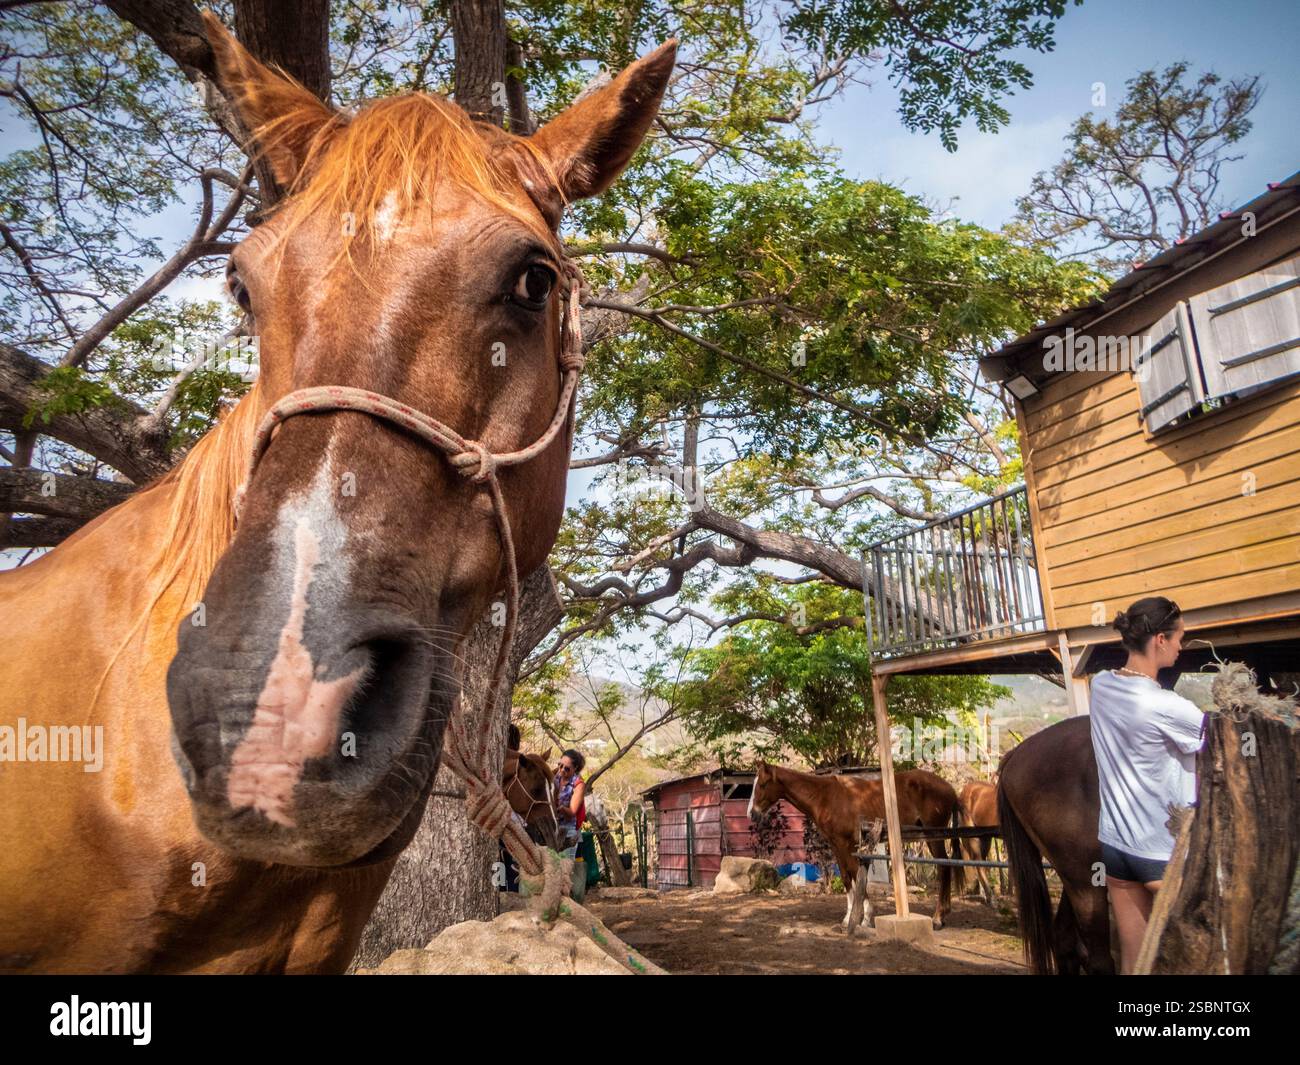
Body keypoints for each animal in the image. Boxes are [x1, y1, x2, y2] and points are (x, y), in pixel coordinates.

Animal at [749, 761, 966, 932]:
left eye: (763, 784)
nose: (752, 813)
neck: (825, 796)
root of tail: (950, 789)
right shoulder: (836, 845)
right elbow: (846, 877)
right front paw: (847, 919)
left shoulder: (847, 844)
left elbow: (855, 874)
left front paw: (865, 918)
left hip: (934, 836)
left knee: (944, 867)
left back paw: (938, 918)